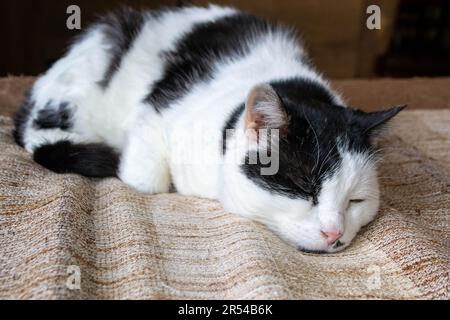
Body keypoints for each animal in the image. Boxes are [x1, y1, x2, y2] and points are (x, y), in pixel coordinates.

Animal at [13, 4, 404, 252]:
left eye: (356, 201)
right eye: (303, 188)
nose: (334, 233)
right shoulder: (156, 113)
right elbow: (146, 181)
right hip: (87, 73)